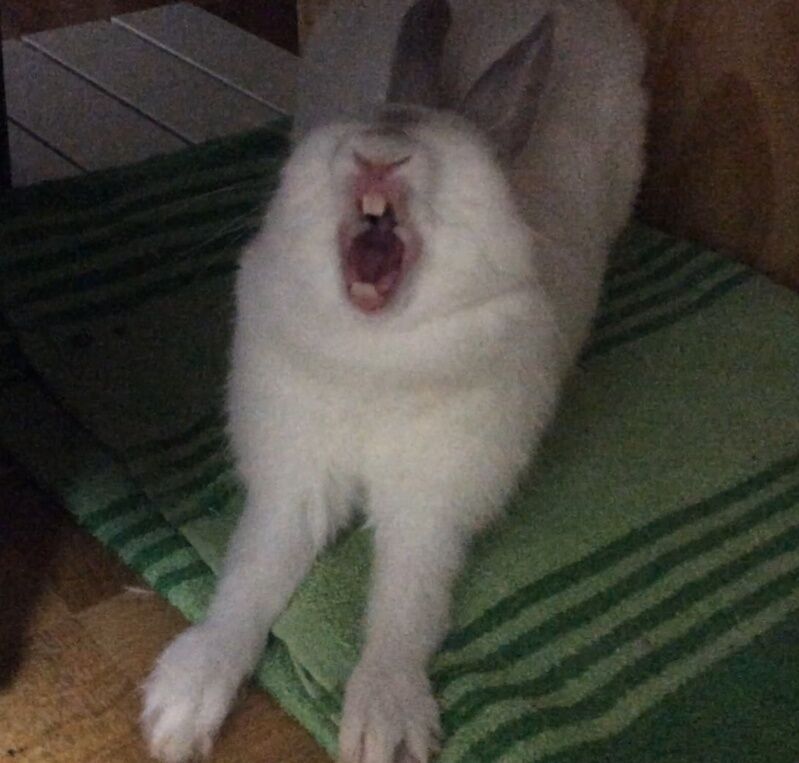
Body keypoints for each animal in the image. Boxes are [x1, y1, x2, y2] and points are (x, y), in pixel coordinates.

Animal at [140, 1, 647, 762]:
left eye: (449, 153)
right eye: (371, 119)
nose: (378, 152)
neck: (373, 353)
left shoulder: (430, 509)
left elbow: (406, 608)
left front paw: (384, 723)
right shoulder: (294, 487)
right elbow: (250, 578)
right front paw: (179, 705)